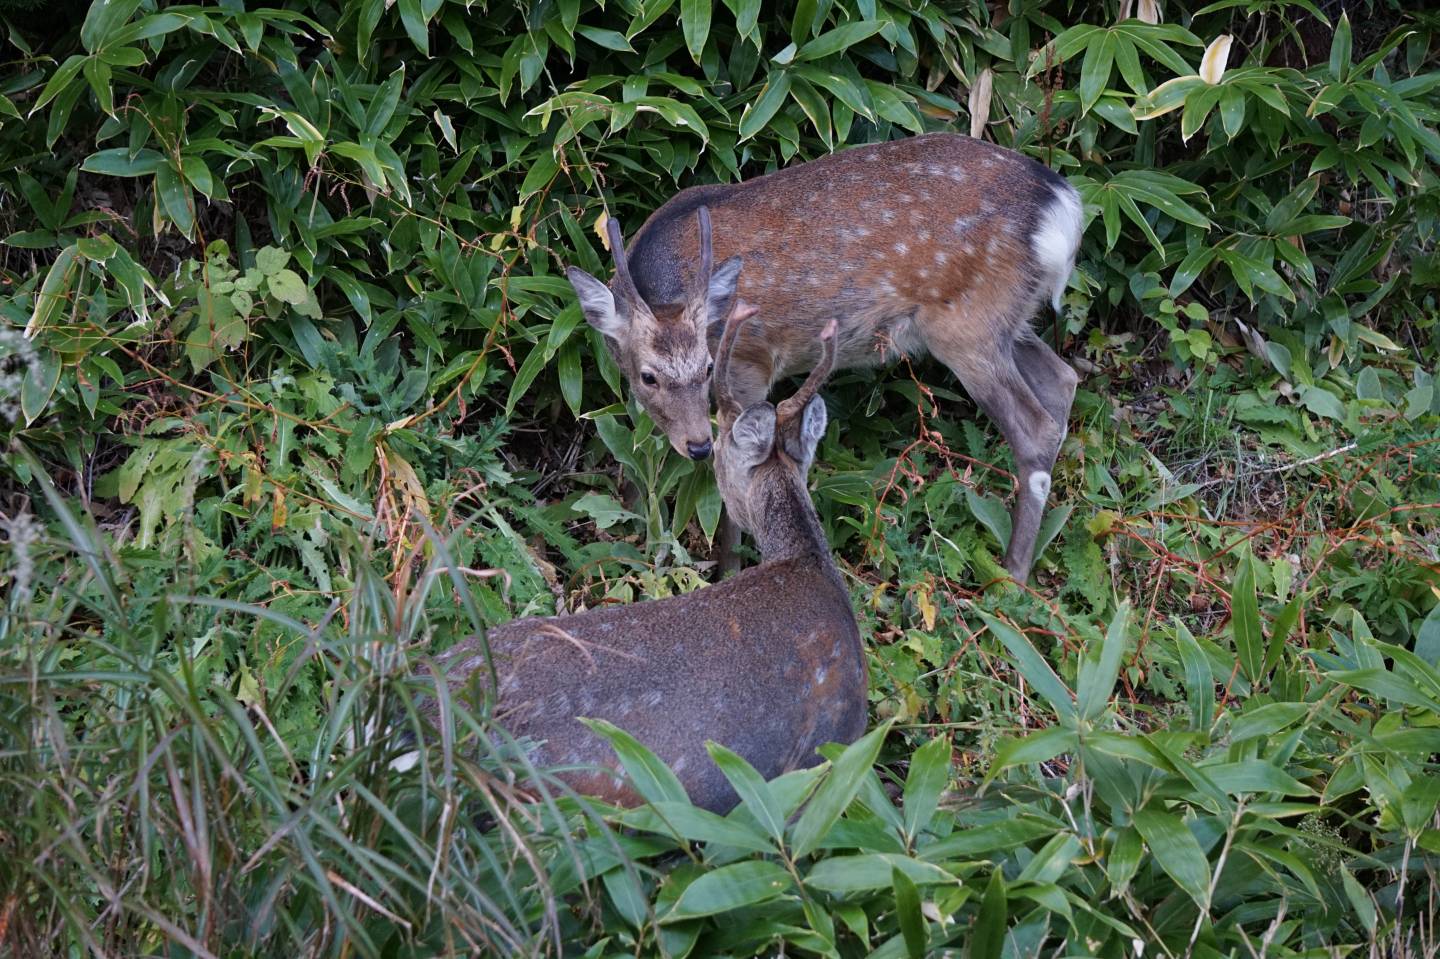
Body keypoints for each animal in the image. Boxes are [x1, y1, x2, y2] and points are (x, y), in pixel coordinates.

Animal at [561, 131, 1082, 578]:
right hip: (1006, 319)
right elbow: (634, 455)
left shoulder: (750, 360)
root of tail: (1063, 208)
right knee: (1062, 379)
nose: (697, 445)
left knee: (1035, 424)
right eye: (648, 376)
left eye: (709, 368)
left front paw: (729, 567)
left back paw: (1012, 574)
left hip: (967, 323)